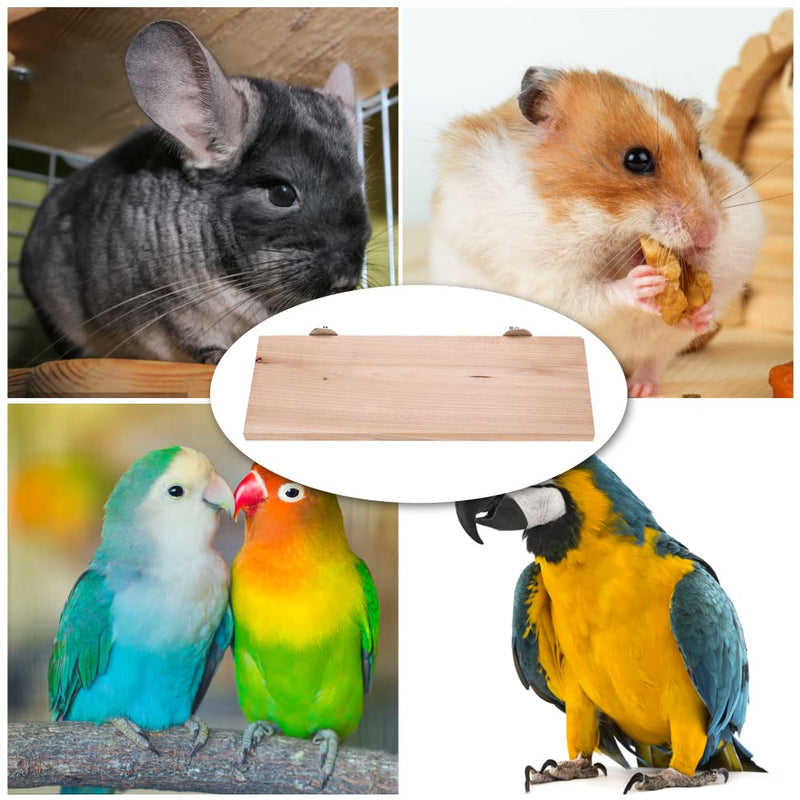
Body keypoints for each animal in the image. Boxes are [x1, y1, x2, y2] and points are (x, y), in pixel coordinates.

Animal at [21, 20, 370, 364]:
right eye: (282, 193)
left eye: (360, 184)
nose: (345, 279)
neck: (244, 286)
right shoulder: (168, 302)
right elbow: (192, 337)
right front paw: (218, 355)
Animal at [430, 68, 765, 397]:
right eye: (637, 159)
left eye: (699, 154)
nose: (711, 234)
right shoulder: (545, 279)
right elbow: (593, 294)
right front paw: (643, 283)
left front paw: (702, 312)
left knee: (654, 360)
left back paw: (643, 389)